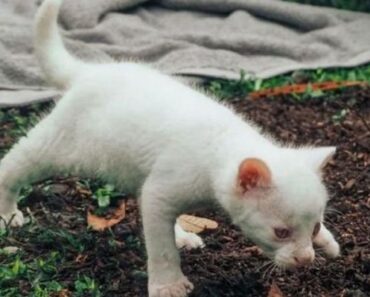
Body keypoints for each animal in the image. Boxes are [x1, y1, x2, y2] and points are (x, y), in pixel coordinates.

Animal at [0, 1, 340, 294]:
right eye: (281, 232)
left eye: (313, 228)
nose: (305, 260)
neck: (224, 143)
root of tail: (93, 72)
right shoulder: (162, 191)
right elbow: (161, 249)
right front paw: (169, 285)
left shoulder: (157, 190)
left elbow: (157, 225)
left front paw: (328, 242)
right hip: (60, 147)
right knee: (13, 164)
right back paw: (7, 213)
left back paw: (182, 236)